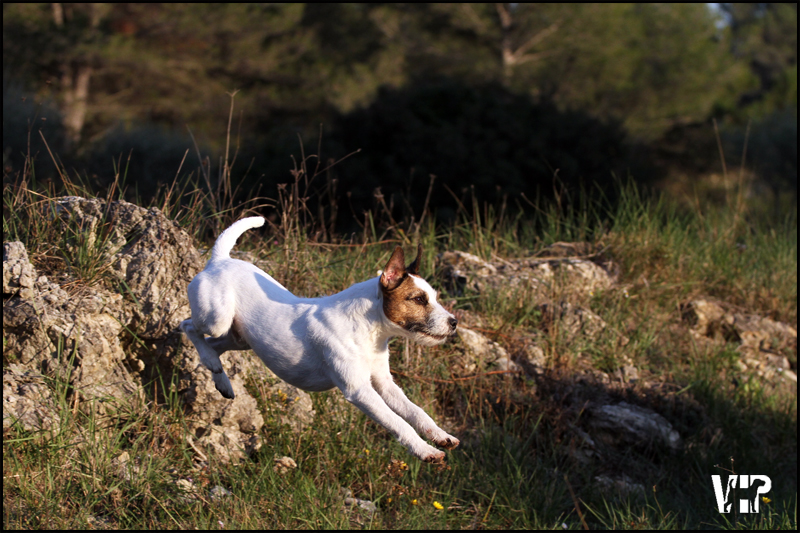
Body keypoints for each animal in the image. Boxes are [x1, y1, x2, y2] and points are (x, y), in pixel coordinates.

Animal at [180, 216, 460, 462]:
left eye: (434, 297)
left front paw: (440, 435)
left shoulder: (384, 384)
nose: (454, 322)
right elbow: (399, 423)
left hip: (239, 338)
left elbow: (415, 412)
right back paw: (210, 360)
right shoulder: (359, 391)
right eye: (418, 299)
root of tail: (220, 261)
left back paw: (221, 379)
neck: (369, 330)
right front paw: (425, 450)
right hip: (216, 320)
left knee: (213, 347)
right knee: (187, 326)